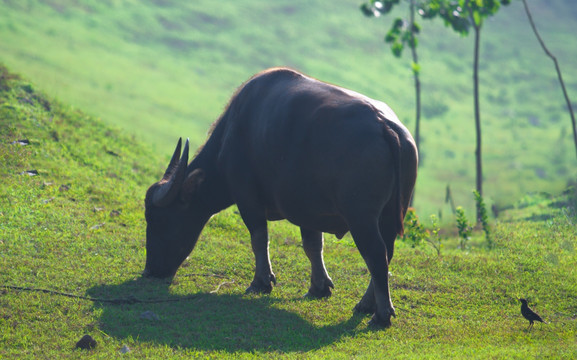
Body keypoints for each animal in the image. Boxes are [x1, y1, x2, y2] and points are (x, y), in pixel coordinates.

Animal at [142, 67, 416, 326]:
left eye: (159, 220)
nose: (150, 271)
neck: (232, 136)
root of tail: (385, 126)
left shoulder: (247, 198)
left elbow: (259, 239)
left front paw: (261, 283)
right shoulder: (307, 209)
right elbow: (312, 245)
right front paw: (318, 287)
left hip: (361, 218)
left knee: (376, 256)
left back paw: (381, 315)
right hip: (387, 218)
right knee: (386, 254)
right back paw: (366, 304)